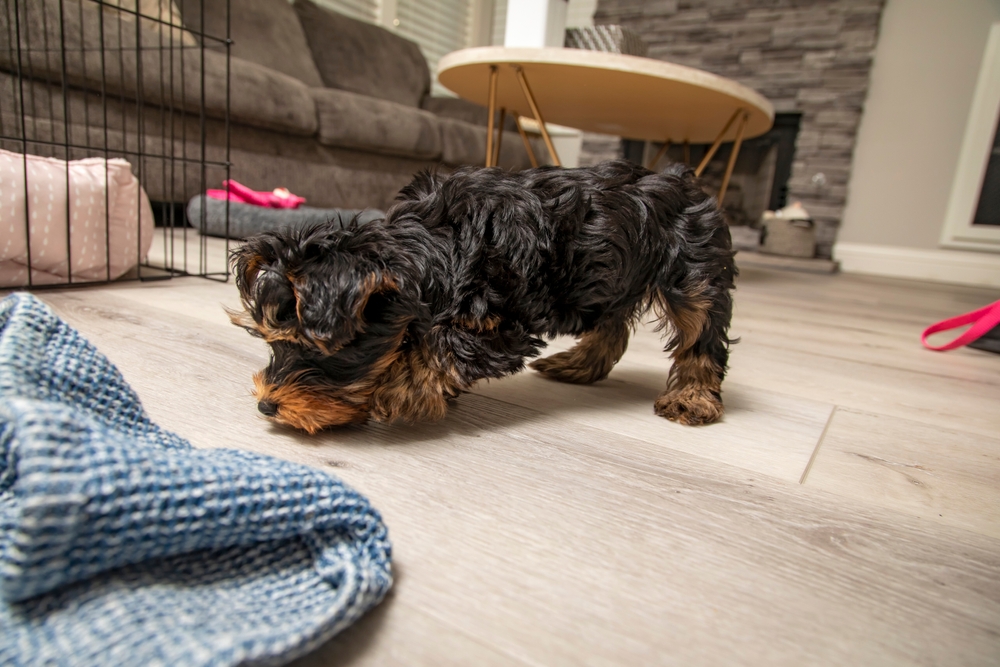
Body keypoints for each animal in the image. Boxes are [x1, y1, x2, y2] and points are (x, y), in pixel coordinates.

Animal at [230, 160, 740, 436]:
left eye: (323, 352)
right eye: (272, 342)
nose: (266, 405)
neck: (433, 250)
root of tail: (684, 180)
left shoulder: (499, 324)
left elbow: (442, 345)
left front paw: (400, 391)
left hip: (693, 268)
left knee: (702, 332)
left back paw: (693, 398)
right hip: (608, 273)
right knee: (612, 322)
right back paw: (578, 365)